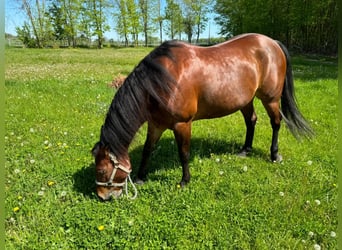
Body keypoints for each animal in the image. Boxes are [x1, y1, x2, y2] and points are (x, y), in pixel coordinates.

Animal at [91, 33, 312, 201]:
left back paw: (274, 155)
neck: (161, 80)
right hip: (246, 100)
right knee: (251, 121)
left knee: (276, 123)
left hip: (271, 99)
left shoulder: (182, 124)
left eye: (101, 171)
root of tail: (272, 42)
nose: (102, 196)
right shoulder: (156, 124)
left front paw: (184, 181)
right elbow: (147, 150)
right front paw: (140, 177)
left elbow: (184, 153)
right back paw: (245, 150)